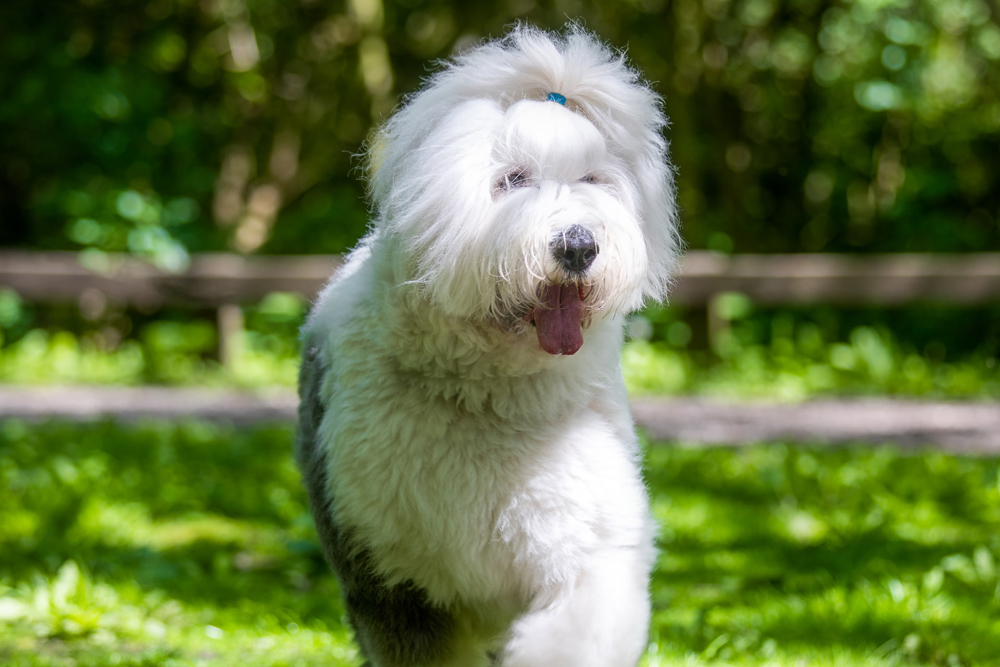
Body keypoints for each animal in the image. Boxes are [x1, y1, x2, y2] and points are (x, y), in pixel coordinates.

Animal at [298, 24, 680, 667]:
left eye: (593, 180)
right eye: (512, 179)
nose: (578, 245)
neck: (489, 393)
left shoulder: (585, 536)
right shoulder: (389, 576)